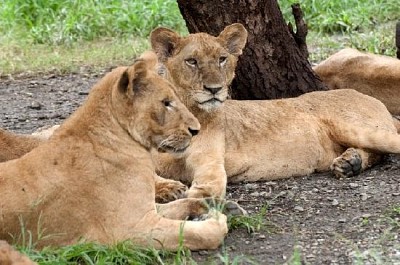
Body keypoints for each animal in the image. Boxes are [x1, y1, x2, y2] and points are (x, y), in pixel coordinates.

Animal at [0, 51, 230, 250]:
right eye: (166, 103)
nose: (196, 130)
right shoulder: (131, 229)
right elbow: (197, 233)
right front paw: (216, 220)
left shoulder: (145, 208)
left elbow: (181, 204)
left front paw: (207, 205)